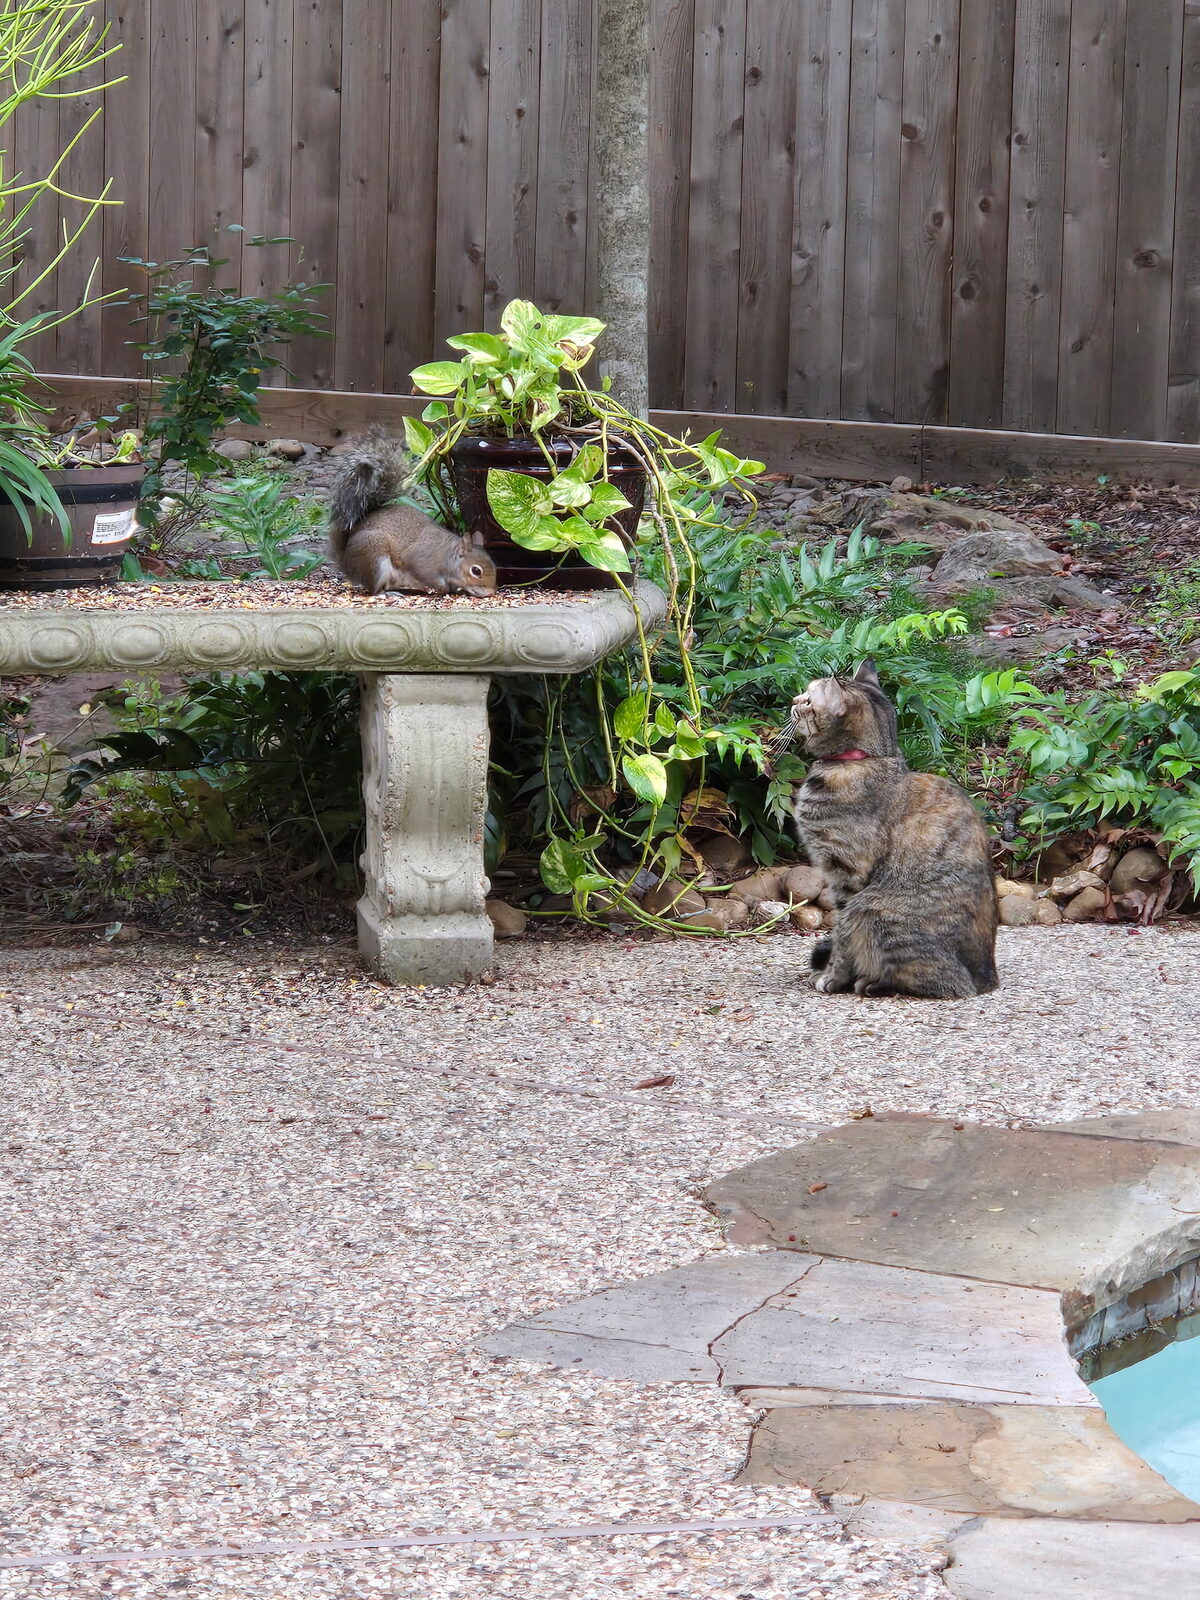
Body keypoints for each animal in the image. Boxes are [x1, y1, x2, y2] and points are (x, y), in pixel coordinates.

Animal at [328, 429, 497, 597]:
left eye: (494, 566)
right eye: (476, 571)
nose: (491, 592)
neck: (447, 556)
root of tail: (347, 564)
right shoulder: (422, 560)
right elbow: (427, 575)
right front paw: (442, 588)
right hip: (374, 559)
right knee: (374, 589)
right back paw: (387, 593)